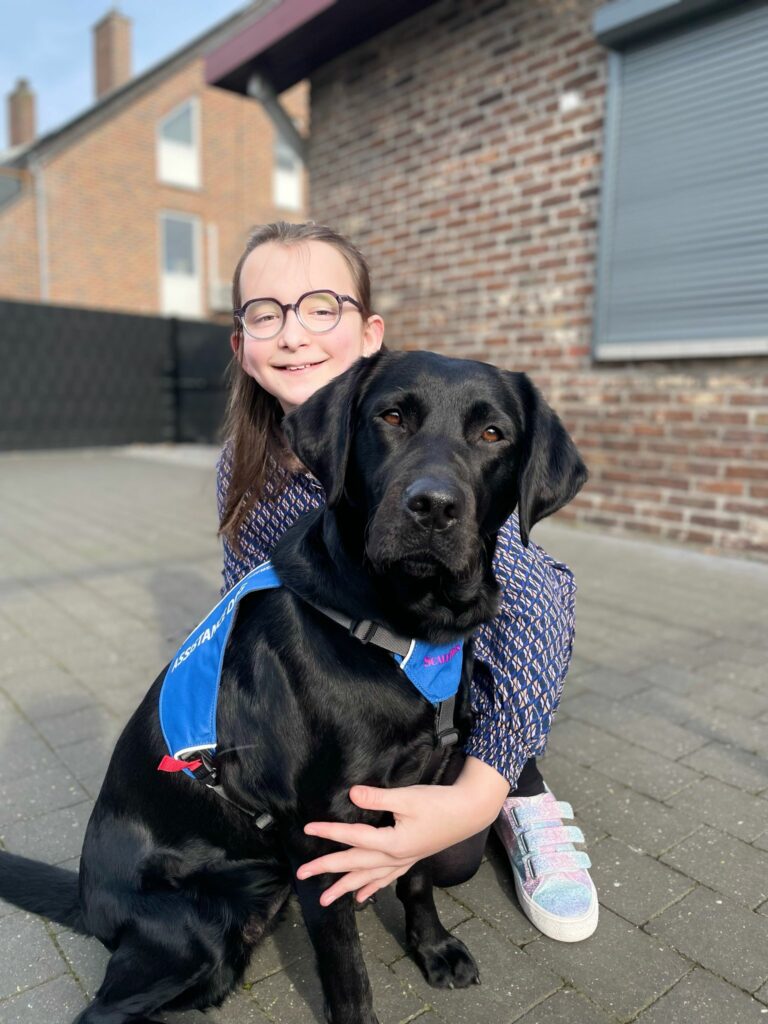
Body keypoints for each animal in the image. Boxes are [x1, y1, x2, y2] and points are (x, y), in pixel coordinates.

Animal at [0, 350, 585, 1024]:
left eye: (493, 434)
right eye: (391, 417)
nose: (433, 506)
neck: (401, 629)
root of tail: (85, 893)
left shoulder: (426, 792)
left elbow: (415, 878)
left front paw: (433, 949)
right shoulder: (322, 831)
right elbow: (347, 970)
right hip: (194, 935)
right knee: (106, 1010)